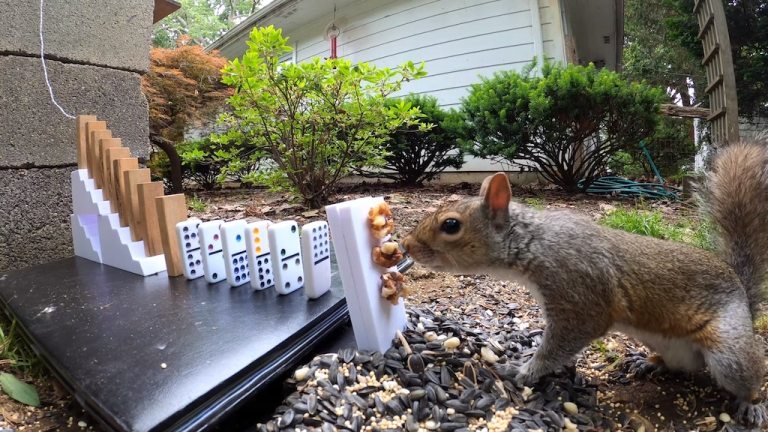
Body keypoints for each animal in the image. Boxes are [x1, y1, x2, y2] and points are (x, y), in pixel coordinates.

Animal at [400, 140, 768, 426]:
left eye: (451, 225)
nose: (406, 245)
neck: (533, 243)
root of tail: (742, 294)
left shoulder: (578, 291)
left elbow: (567, 338)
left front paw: (525, 371)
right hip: (670, 346)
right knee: (684, 367)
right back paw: (650, 364)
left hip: (728, 350)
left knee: (743, 374)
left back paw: (752, 404)